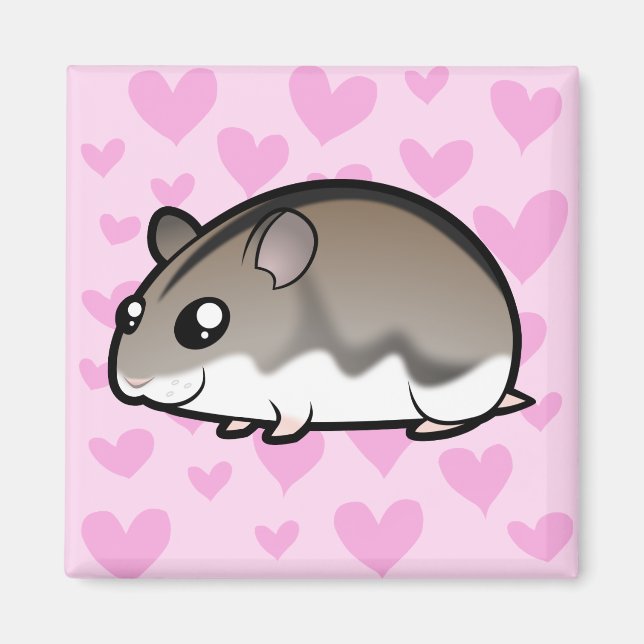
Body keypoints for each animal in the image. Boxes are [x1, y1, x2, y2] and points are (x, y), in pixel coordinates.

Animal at [108, 179, 534, 444]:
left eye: (203, 325)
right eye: (129, 313)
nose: (133, 381)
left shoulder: (293, 392)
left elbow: (291, 416)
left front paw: (275, 435)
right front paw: (233, 426)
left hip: (443, 387)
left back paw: (429, 429)